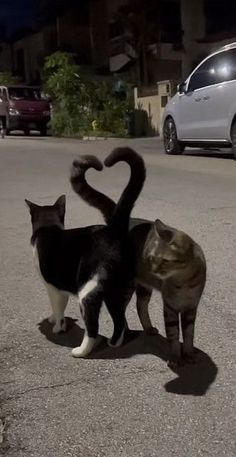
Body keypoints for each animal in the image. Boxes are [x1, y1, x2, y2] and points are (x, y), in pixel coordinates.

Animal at [24, 148, 145, 358]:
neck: (48, 228)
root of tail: (114, 230)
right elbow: (57, 308)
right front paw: (52, 319)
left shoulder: (53, 286)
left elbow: (58, 308)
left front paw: (57, 327)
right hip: (117, 291)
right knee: (119, 319)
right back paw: (114, 343)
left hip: (89, 291)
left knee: (92, 326)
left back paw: (82, 350)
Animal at [70, 155, 206, 366]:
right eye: (151, 258)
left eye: (163, 260)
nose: (153, 269)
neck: (183, 281)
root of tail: (119, 223)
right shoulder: (170, 308)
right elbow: (174, 335)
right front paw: (176, 357)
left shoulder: (191, 308)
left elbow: (189, 334)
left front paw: (190, 354)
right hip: (125, 286)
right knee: (121, 312)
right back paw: (124, 333)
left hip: (143, 286)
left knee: (140, 306)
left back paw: (147, 328)